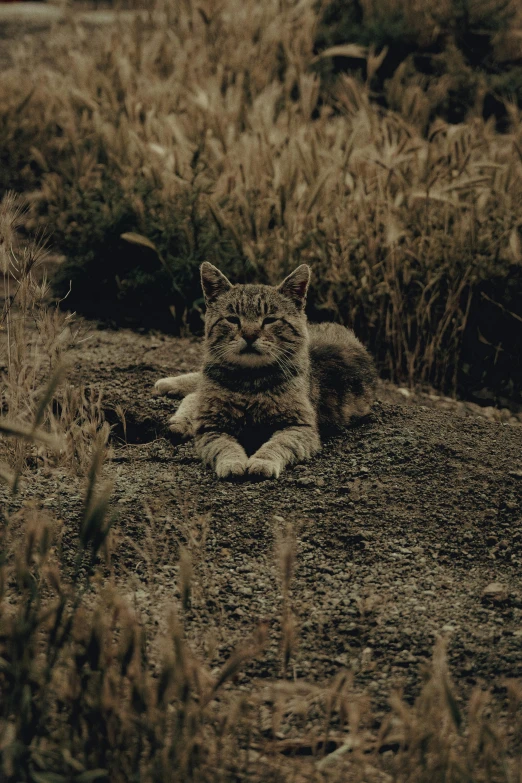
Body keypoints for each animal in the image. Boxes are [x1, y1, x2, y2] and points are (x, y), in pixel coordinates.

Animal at [152, 264, 376, 480]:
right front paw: (232, 462)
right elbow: (224, 446)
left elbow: (278, 444)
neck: (250, 381)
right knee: (195, 392)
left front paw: (262, 462)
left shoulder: (300, 427)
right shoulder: (212, 426)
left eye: (269, 320)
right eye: (233, 319)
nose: (250, 335)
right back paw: (172, 397)